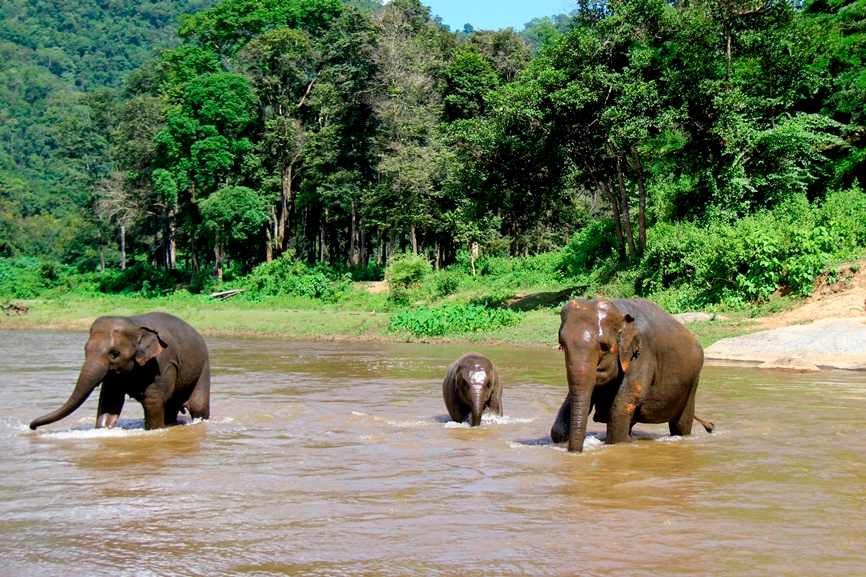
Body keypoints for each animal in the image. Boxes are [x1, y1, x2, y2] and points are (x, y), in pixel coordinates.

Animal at [29, 312, 210, 431]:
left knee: (197, 406)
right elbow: (110, 401)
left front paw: (154, 431)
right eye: (85, 350)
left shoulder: (163, 363)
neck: (134, 323)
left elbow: (153, 401)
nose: (32, 427)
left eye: (114, 354)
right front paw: (103, 429)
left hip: (203, 367)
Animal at [550, 299, 711, 452]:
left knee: (681, 424)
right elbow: (559, 426)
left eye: (604, 347)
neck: (618, 310)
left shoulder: (642, 355)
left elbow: (622, 408)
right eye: (562, 345)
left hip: (693, 382)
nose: (575, 453)